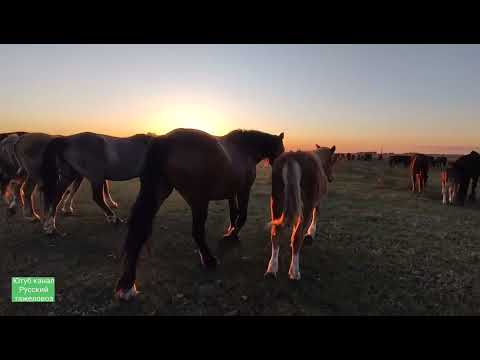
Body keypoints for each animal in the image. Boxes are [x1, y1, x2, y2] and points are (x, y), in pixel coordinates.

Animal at [113, 128, 284, 300]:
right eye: (281, 149)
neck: (245, 149)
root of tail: (165, 139)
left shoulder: (231, 193)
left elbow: (233, 214)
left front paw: (231, 232)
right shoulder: (243, 190)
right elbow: (242, 215)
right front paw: (231, 235)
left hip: (159, 192)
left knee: (139, 229)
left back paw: (127, 284)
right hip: (198, 201)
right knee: (197, 231)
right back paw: (209, 260)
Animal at [264, 145, 336, 280]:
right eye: (332, 161)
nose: (331, 178)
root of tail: (292, 157)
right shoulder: (316, 203)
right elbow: (315, 217)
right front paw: (310, 234)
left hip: (277, 204)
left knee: (276, 233)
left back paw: (272, 269)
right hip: (306, 207)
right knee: (297, 237)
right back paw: (294, 271)